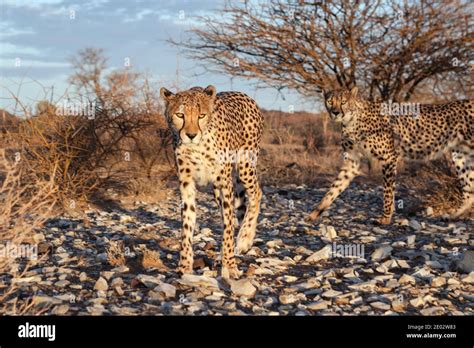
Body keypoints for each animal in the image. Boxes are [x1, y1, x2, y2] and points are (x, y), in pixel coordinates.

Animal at [159, 85, 262, 278]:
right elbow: (187, 226)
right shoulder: (187, 184)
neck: (197, 146)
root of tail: (245, 95)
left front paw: (229, 265)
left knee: (256, 193)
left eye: (201, 115)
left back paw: (245, 238)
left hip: (245, 165)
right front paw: (185, 265)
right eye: (180, 115)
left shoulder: (225, 184)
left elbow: (227, 228)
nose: (191, 135)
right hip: (216, 190)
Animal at [306, 85, 472, 224]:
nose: (335, 112)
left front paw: (385, 218)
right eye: (329, 101)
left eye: (343, 101)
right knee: (470, 192)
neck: (351, 120)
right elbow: (334, 189)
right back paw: (452, 216)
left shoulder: (389, 157)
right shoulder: (352, 161)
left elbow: (387, 192)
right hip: (461, 156)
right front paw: (315, 212)